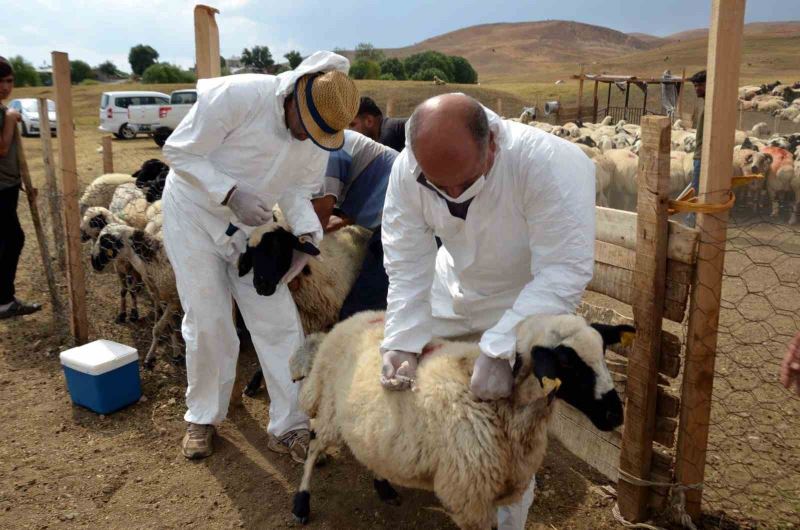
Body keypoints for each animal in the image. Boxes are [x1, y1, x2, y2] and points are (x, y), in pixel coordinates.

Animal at [290, 310, 636, 528]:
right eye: (566, 362)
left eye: (604, 352)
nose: (615, 414)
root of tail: (350, 320)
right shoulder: (469, 495)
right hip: (331, 410)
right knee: (315, 445)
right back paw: (301, 503)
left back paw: (383, 485)